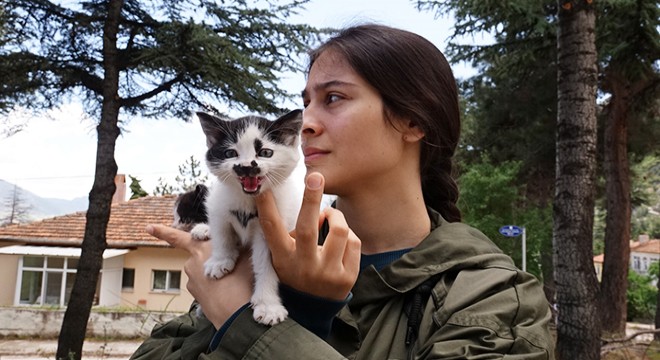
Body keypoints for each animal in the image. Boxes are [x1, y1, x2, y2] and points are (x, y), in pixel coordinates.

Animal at [192, 108, 302, 324]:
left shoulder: (273, 229)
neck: (247, 199)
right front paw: (220, 260)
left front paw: (268, 306)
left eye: (265, 152)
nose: (246, 166)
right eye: (230, 153)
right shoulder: (218, 205)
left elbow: (266, 263)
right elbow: (222, 233)